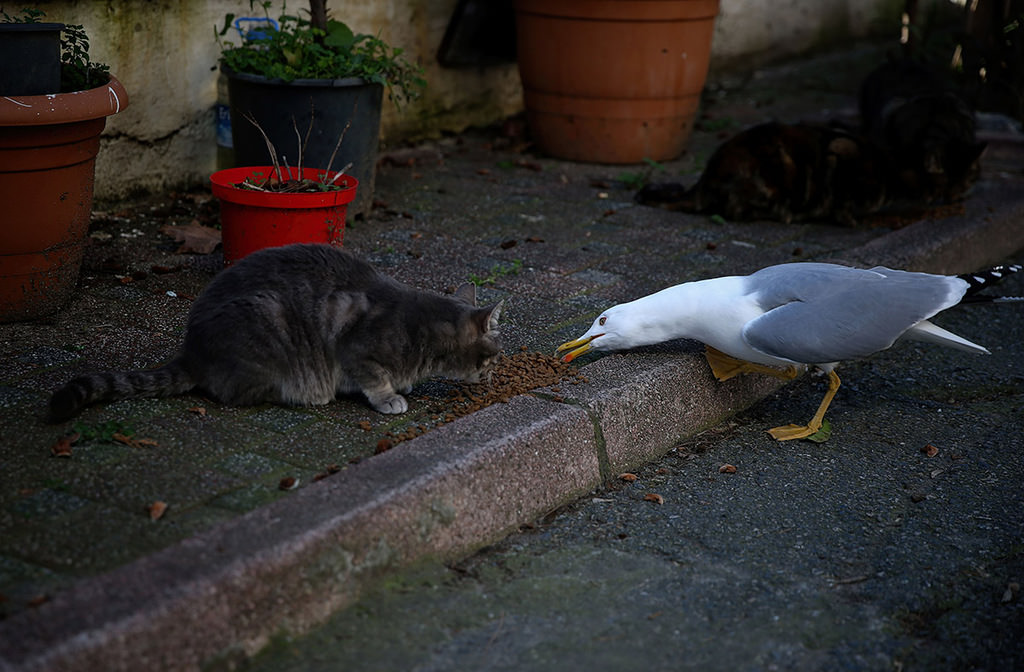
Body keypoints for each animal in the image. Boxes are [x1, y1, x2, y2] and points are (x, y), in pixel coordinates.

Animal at [49, 241, 505, 420]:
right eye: (493, 357)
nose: (493, 376)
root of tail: (193, 351)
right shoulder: (356, 349)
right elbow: (374, 379)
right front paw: (390, 396)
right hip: (269, 328)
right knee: (235, 392)